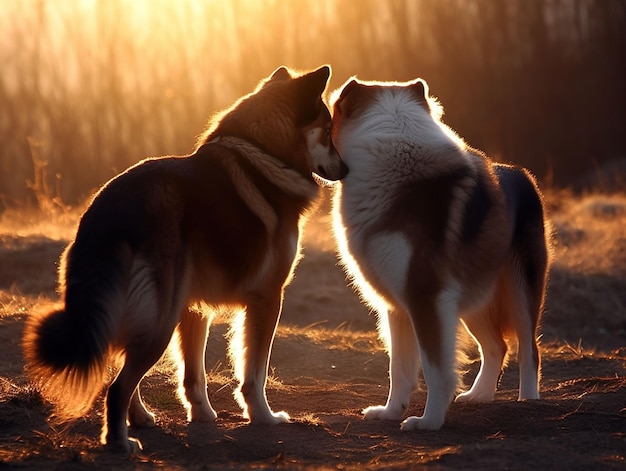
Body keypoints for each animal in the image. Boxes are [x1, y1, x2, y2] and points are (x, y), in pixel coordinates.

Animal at [330, 77, 548, 432]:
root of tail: (524, 176)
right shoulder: (399, 306)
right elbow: (399, 370)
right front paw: (391, 412)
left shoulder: (425, 298)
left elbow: (435, 370)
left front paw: (429, 421)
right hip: (472, 298)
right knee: (497, 346)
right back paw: (479, 395)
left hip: (519, 291)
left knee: (529, 350)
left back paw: (528, 402)